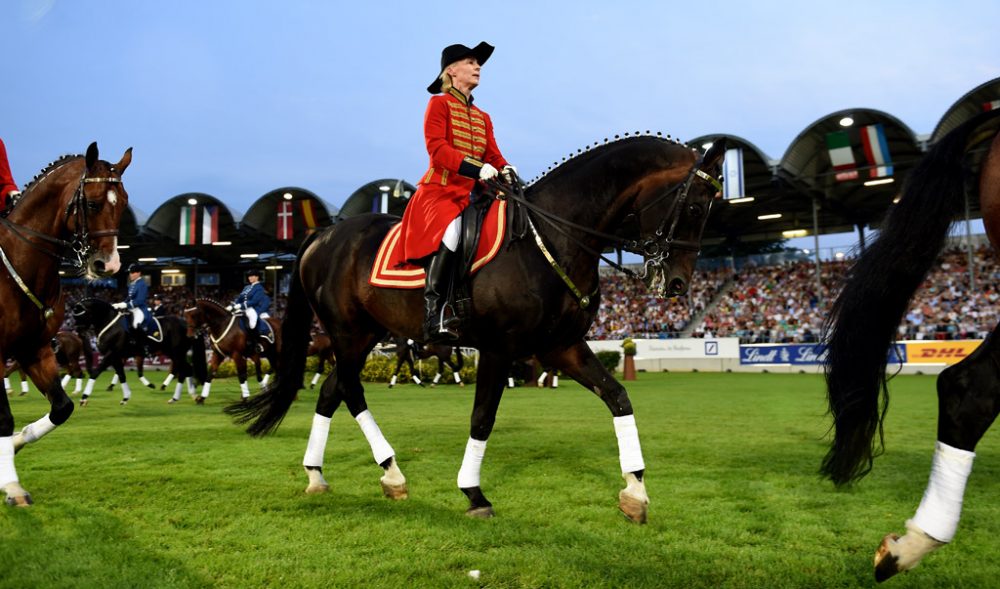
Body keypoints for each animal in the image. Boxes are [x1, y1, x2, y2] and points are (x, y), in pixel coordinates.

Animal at [0, 144, 132, 506]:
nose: (108, 265)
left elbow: (62, 408)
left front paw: (16, 444)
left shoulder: (34, 350)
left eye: (124, 203)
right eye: (92, 203)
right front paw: (12, 486)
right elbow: (4, 417)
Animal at [229, 134, 724, 520]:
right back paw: (391, 468)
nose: (678, 284)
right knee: (351, 390)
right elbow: (483, 416)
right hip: (348, 333)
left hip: (365, 334)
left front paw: (635, 490)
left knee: (333, 391)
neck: (550, 238)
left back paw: (326, 474)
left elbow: (618, 397)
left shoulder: (562, 346)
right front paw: (473, 492)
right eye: (695, 207)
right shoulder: (500, 348)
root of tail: (324, 234)